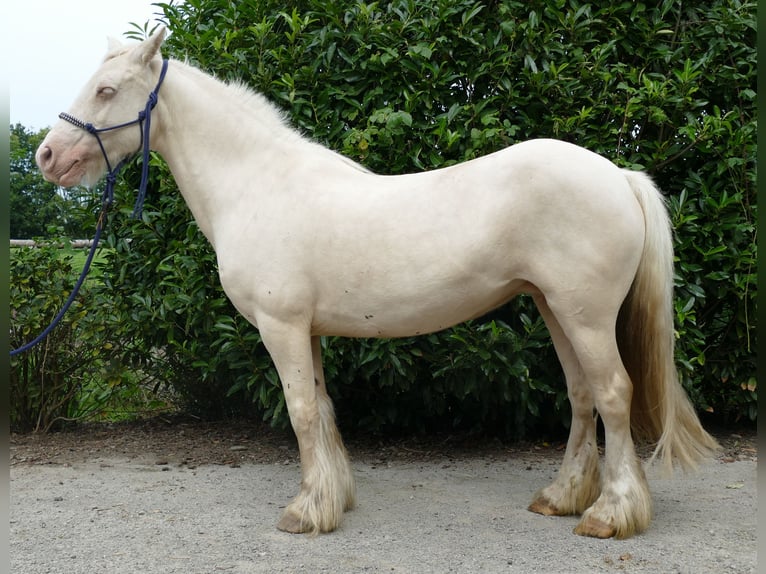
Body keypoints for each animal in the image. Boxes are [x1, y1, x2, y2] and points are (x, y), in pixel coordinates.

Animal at [36, 29, 720, 544]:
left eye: (106, 89)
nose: (47, 156)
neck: (257, 184)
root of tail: (618, 174)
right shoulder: (306, 331)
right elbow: (322, 409)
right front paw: (331, 498)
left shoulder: (282, 327)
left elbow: (300, 410)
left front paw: (304, 513)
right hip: (555, 309)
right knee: (582, 397)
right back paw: (561, 497)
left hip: (586, 315)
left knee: (613, 394)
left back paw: (611, 514)